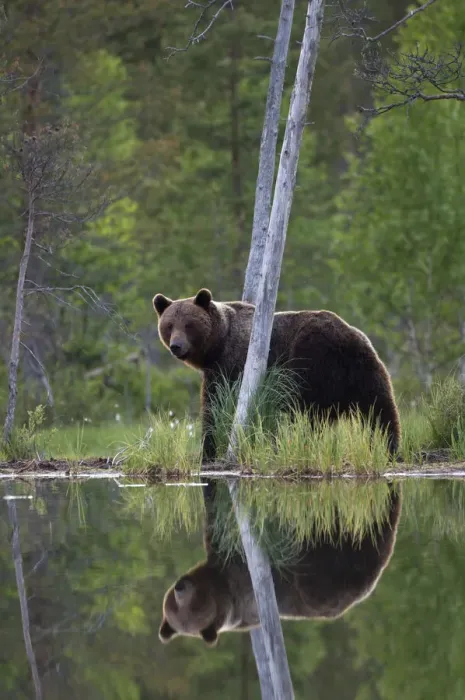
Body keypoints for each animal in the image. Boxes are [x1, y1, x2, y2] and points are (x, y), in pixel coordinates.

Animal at [153, 288, 400, 460]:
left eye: (189, 324)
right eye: (169, 325)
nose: (176, 346)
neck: (218, 344)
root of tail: (346, 336)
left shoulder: (230, 366)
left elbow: (215, 406)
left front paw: (208, 451)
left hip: (310, 359)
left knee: (310, 412)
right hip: (363, 369)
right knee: (381, 409)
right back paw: (390, 448)